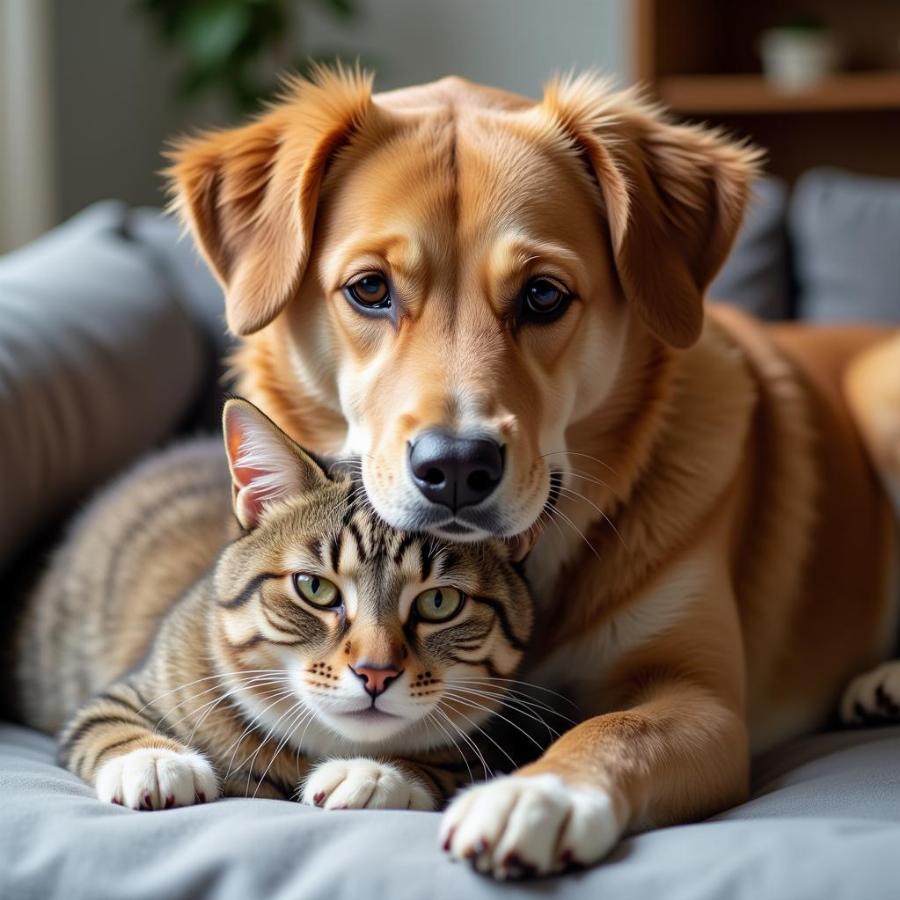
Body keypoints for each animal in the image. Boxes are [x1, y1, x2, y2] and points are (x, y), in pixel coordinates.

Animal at [12, 400, 536, 808]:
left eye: (439, 601)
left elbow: (448, 764)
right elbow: (109, 723)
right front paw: (157, 760)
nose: (375, 673)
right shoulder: (126, 693)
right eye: (315, 588)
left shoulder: (492, 746)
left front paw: (374, 771)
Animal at [165, 68, 896, 880]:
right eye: (369, 290)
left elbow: (612, 729)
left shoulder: (701, 701)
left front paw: (537, 794)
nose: (456, 467)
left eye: (543, 294)